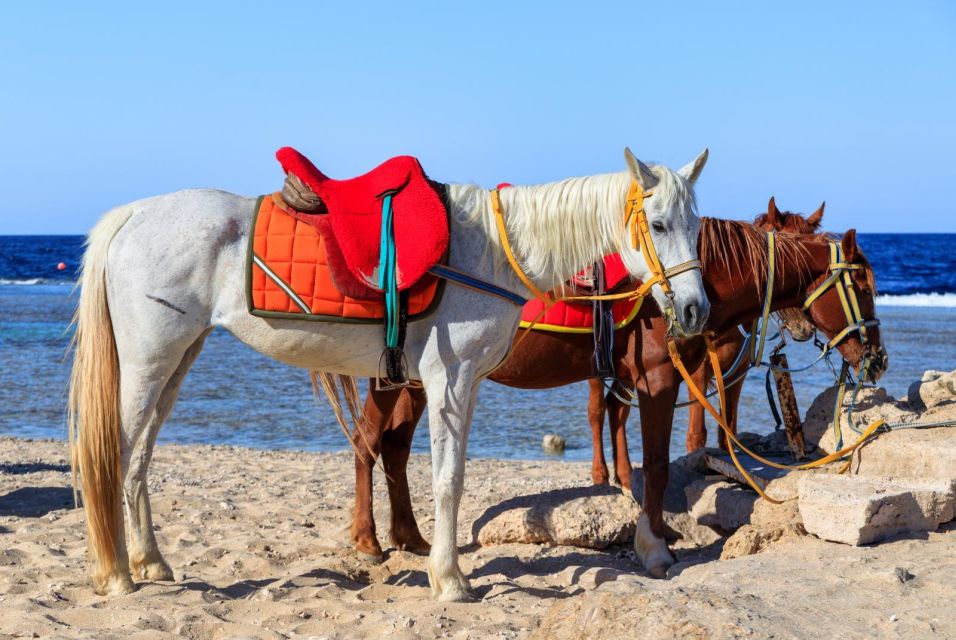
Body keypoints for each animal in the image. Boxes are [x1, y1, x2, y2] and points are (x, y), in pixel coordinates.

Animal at [68, 146, 711, 601]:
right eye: (657, 224)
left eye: (697, 223)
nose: (695, 310)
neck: (490, 254)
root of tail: (134, 215)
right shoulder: (449, 380)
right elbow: (448, 480)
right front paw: (449, 580)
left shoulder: (466, 386)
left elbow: (447, 475)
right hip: (149, 362)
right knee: (116, 456)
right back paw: (119, 574)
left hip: (177, 361)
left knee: (139, 461)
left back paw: (151, 563)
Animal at [347, 218, 886, 579]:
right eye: (861, 284)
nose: (877, 357)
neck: (681, 285)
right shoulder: (658, 381)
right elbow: (658, 464)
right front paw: (655, 549)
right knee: (367, 442)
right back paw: (368, 540)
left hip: (415, 383)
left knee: (393, 448)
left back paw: (410, 538)